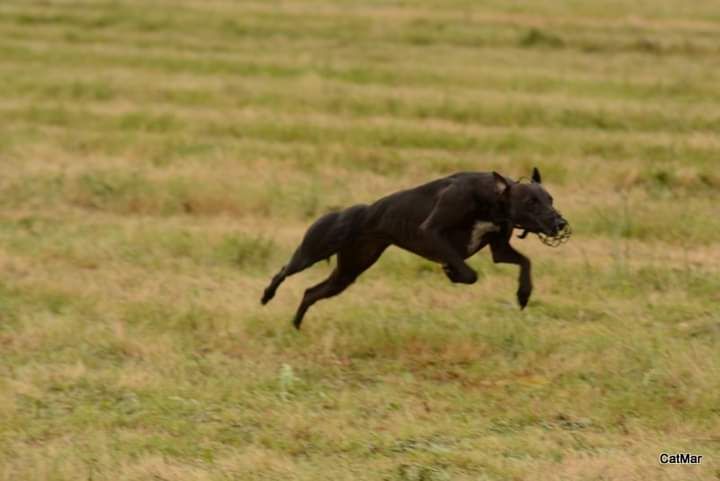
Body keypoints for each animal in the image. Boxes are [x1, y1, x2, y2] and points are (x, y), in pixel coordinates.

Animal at [260, 167, 568, 328]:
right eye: (531, 202)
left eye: (551, 199)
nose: (560, 223)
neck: (492, 199)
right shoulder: (430, 231)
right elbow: (469, 272)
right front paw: (454, 273)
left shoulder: (500, 250)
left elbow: (526, 262)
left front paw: (524, 295)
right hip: (314, 250)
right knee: (284, 270)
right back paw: (266, 295)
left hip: (349, 271)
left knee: (310, 292)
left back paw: (296, 325)